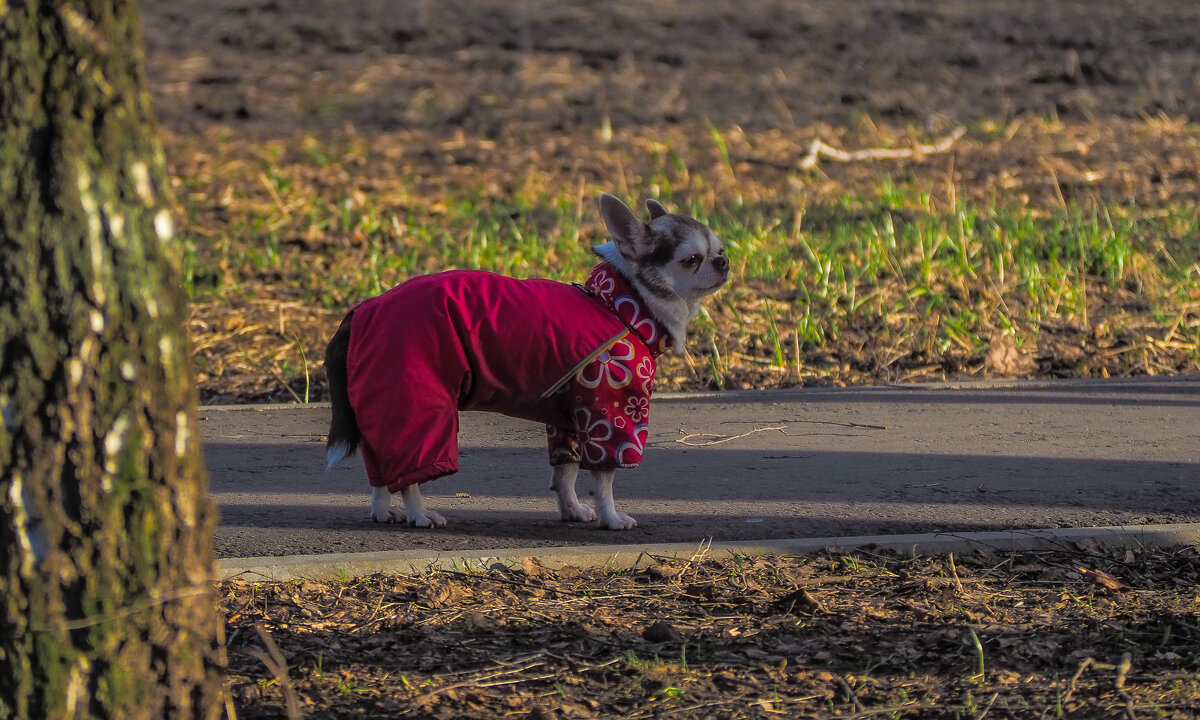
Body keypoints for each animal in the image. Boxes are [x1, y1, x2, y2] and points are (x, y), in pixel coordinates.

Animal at [324, 194, 724, 530]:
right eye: (691, 260)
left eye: (720, 249)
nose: (724, 261)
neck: (620, 306)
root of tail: (362, 310)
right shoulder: (610, 415)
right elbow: (604, 479)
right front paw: (611, 518)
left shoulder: (570, 421)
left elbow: (565, 473)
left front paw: (571, 509)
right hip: (420, 406)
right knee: (411, 471)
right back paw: (420, 514)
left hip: (385, 406)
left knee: (381, 466)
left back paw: (383, 510)